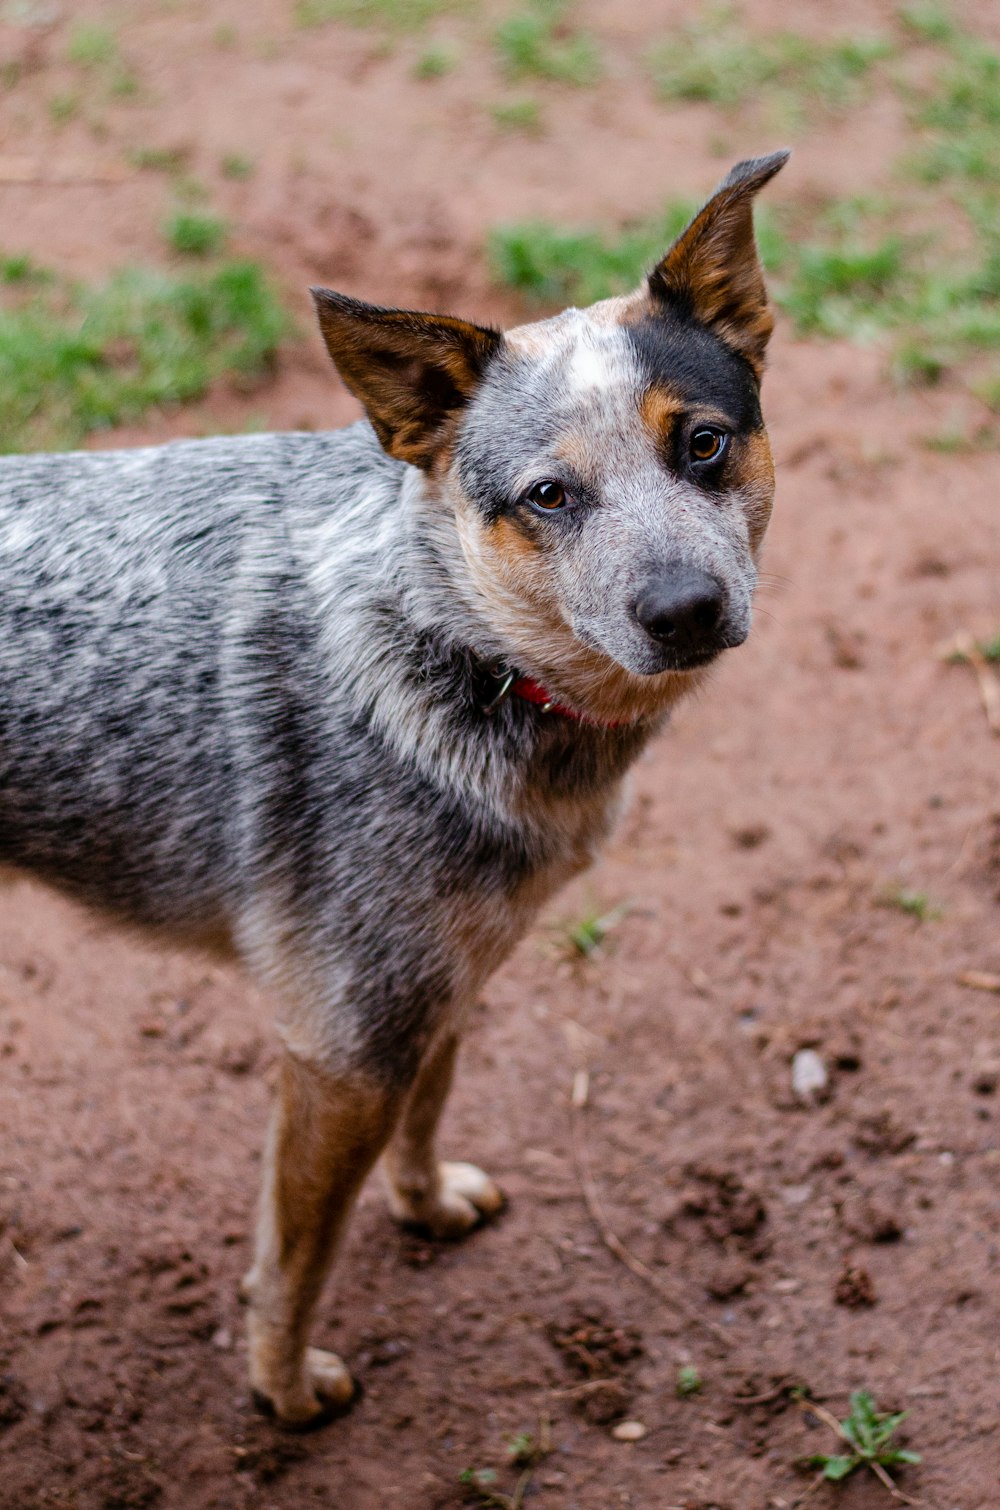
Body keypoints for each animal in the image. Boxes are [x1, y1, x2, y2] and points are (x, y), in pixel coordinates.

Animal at [1, 153, 791, 1425]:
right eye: (547, 496)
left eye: (704, 443)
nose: (683, 610)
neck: (450, 638)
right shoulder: (343, 1044)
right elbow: (298, 1253)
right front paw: (283, 1388)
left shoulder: (441, 975)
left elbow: (432, 1107)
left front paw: (425, 1207)